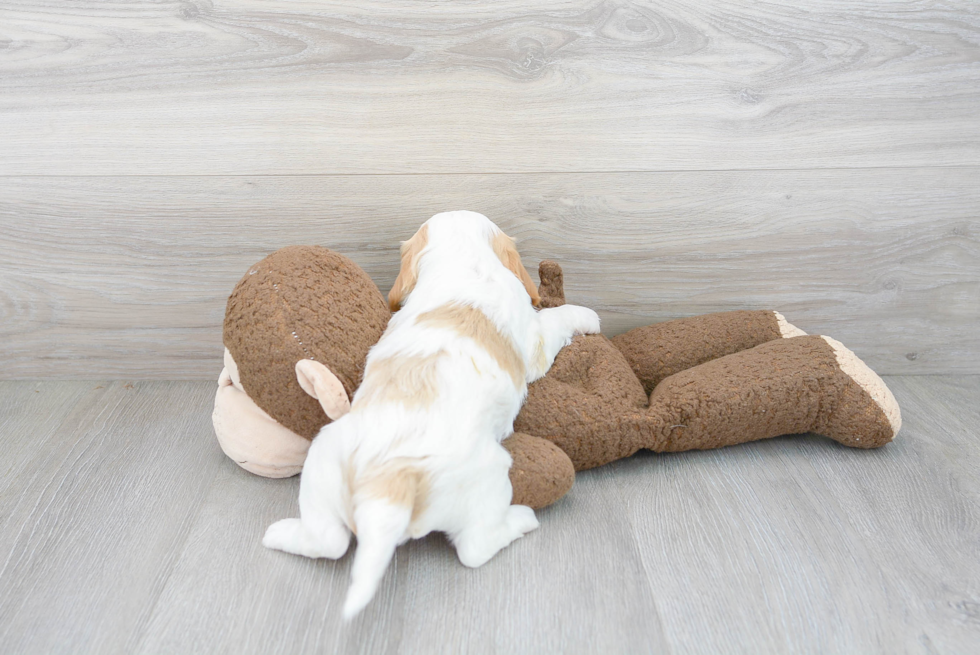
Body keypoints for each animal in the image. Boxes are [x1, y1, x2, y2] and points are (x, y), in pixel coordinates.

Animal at [262, 211, 596, 620]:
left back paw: (279, 534)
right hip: (489, 476)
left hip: (323, 464)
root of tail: (387, 487)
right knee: (475, 548)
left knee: (328, 541)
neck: (462, 263)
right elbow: (556, 319)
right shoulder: (535, 342)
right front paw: (586, 315)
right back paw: (521, 520)